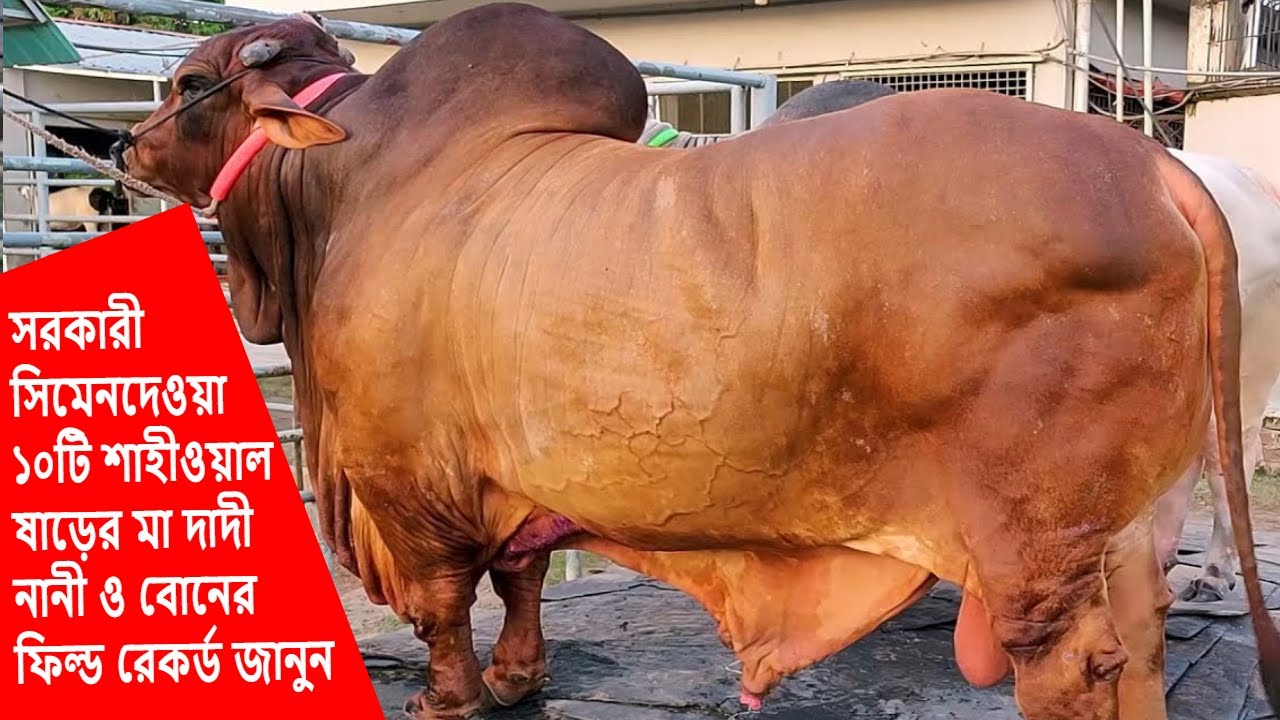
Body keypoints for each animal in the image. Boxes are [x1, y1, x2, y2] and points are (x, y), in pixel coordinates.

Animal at [120, 5, 1280, 719]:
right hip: (1125, 523)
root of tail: (1154, 168)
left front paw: (449, 695)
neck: (341, 197)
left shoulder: (406, 484)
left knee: (1072, 667)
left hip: (1035, 539)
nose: (122, 145)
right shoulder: (514, 477)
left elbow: (445, 605)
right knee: (1141, 640)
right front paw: (518, 677)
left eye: (186, 80)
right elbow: (522, 575)